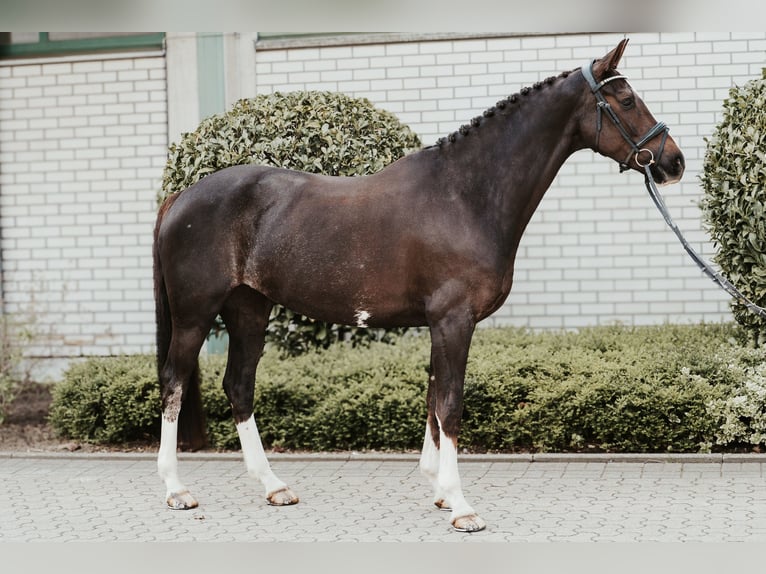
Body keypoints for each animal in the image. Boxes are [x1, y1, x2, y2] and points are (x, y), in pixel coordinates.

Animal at [153, 39, 685, 532]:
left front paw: (440, 491)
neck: (464, 194)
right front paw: (462, 506)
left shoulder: (439, 323)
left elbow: (433, 398)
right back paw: (177, 489)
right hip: (196, 314)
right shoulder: (453, 319)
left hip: (249, 309)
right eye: (627, 99)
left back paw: (273, 486)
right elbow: (450, 404)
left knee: (239, 386)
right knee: (174, 382)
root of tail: (182, 195)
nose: (673, 162)